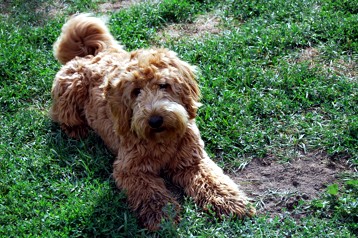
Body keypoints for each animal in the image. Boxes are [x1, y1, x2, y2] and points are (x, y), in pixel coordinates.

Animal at [51, 13, 258, 231]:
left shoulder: (192, 160)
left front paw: (231, 202)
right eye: (136, 91)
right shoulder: (131, 170)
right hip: (69, 91)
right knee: (62, 116)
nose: (155, 119)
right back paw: (77, 130)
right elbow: (150, 193)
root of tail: (86, 56)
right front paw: (163, 216)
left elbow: (213, 180)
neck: (162, 140)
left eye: (163, 85)